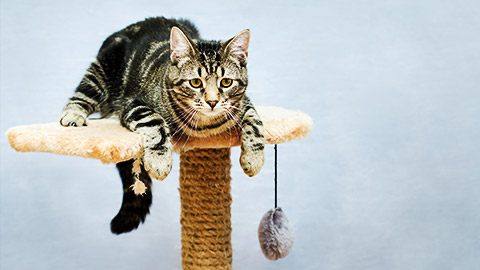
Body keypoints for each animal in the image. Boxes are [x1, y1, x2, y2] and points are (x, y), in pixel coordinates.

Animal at [60, 17, 266, 234]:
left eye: (226, 82)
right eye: (195, 82)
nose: (212, 102)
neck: (205, 125)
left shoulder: (245, 104)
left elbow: (256, 123)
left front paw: (254, 159)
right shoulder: (134, 104)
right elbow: (155, 121)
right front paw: (159, 161)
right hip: (102, 67)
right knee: (83, 92)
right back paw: (73, 114)